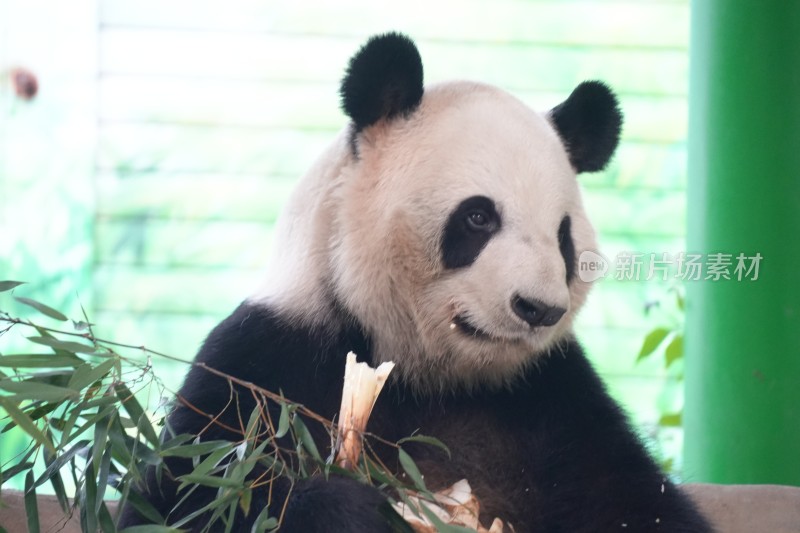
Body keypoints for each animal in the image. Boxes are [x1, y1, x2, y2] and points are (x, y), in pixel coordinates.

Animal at [117, 34, 708, 532]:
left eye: (562, 236)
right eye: (478, 218)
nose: (539, 309)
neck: (430, 373)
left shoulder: (553, 394)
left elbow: (633, 500)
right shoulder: (267, 357)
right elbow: (187, 494)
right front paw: (358, 511)